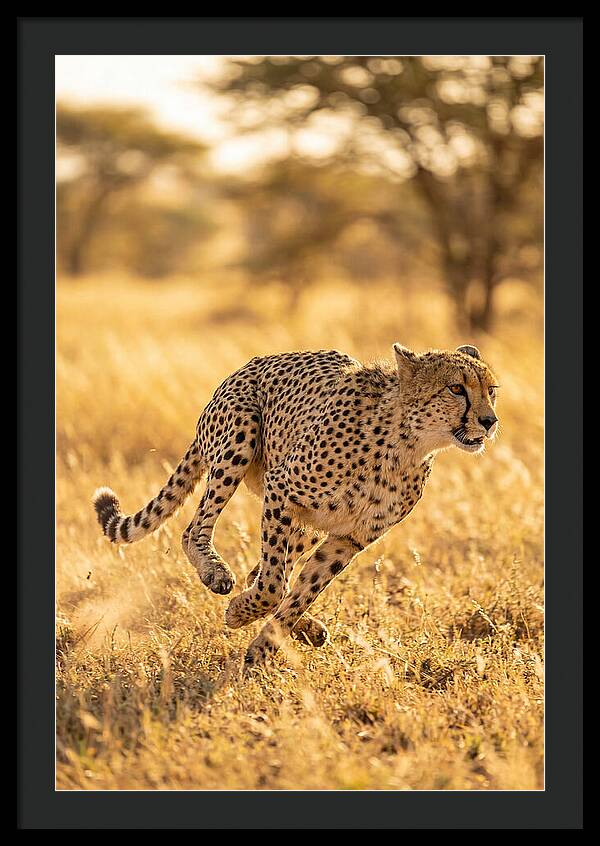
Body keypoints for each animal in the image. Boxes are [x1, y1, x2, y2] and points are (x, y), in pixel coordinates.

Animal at [93, 342, 499, 669]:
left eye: (491, 390)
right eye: (456, 388)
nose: (489, 421)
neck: (407, 443)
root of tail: (247, 366)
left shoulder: (349, 538)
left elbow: (302, 590)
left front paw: (264, 646)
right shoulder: (281, 490)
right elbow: (274, 585)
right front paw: (240, 614)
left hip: (309, 524)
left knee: (263, 570)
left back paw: (307, 629)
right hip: (240, 436)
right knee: (196, 531)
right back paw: (216, 572)